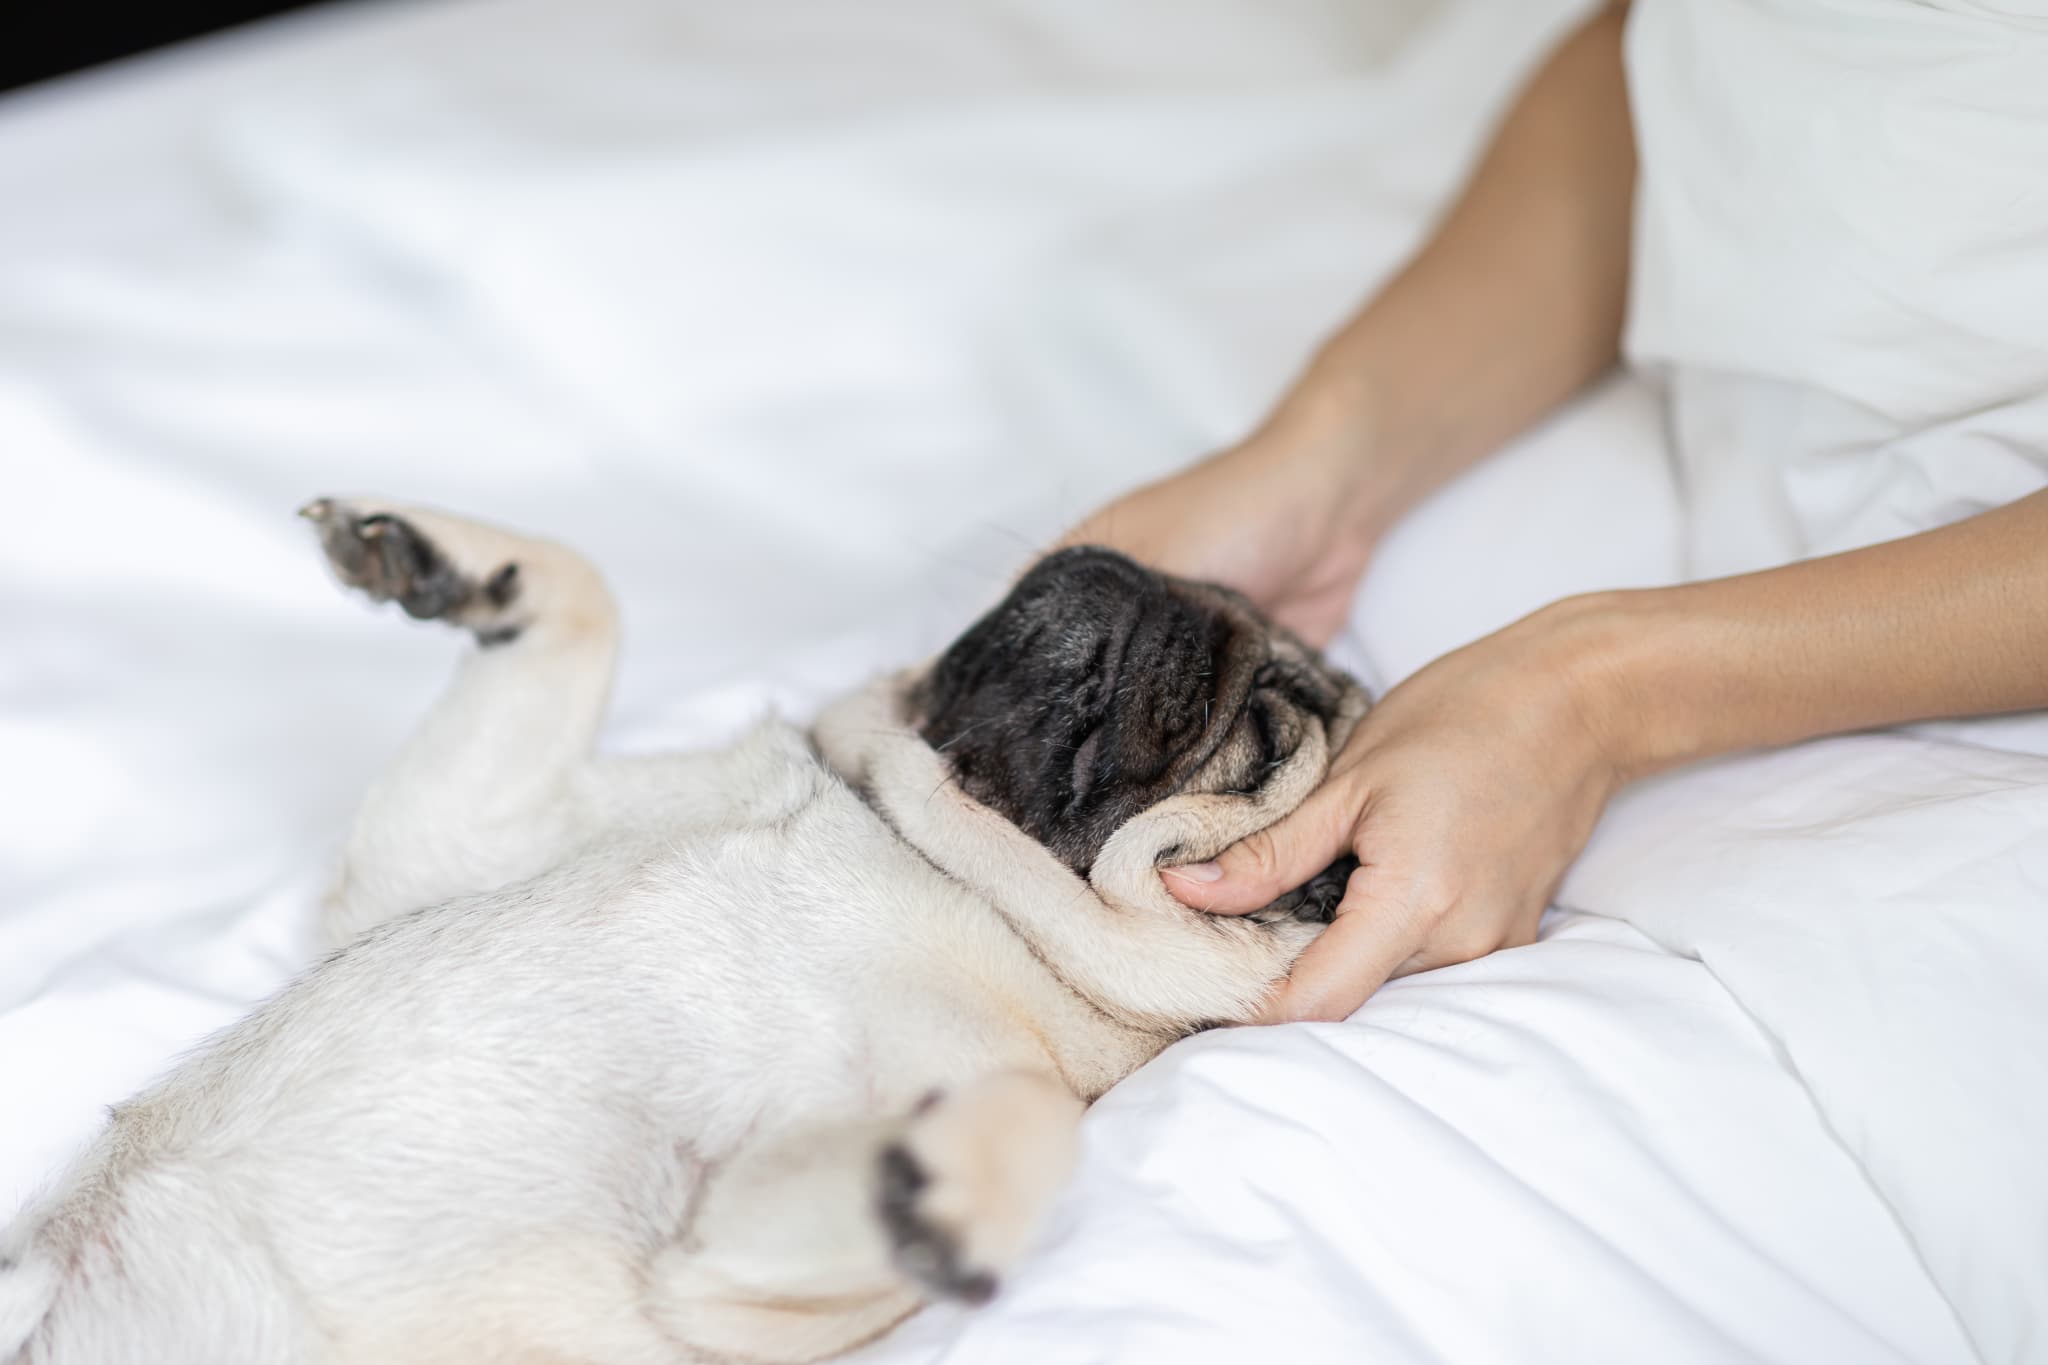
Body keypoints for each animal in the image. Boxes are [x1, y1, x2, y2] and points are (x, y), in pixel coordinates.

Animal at [8, 501, 1368, 1365]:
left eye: (1267, 737)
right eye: (1214, 598)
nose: (1163, 591)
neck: (942, 857)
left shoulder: (726, 1298)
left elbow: (1036, 1117)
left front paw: (945, 1193)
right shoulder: (468, 834)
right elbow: (583, 601)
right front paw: (462, 563)